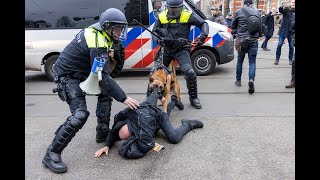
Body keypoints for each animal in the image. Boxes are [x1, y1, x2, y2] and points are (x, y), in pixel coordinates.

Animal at [41, 8, 139, 173]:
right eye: (118, 28)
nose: (120, 37)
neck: (100, 30)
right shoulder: (98, 47)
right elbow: (105, 75)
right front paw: (127, 100)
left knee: (103, 99)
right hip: (68, 86)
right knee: (78, 116)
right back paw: (52, 157)